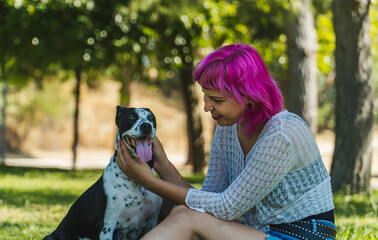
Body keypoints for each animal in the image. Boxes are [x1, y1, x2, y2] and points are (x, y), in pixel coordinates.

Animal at [44, 106, 162, 240]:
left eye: (151, 118)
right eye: (131, 117)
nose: (146, 126)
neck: (137, 185)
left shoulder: (152, 223)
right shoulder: (107, 226)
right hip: (50, 237)